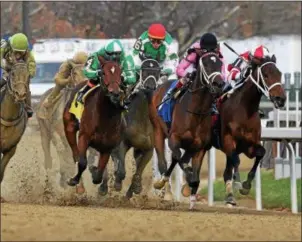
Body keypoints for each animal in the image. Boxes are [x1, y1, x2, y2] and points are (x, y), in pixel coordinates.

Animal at [63, 56, 125, 187]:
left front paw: (96, 172)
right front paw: (73, 180)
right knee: (75, 149)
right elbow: (82, 162)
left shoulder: (108, 146)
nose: (114, 93)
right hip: (69, 125)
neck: (105, 117)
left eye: (120, 74)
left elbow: (99, 173)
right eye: (103, 73)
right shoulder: (84, 136)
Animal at [148, 51, 224, 208]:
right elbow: (179, 159)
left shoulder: (200, 147)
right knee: (164, 161)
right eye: (206, 64)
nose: (219, 84)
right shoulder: (174, 138)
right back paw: (163, 187)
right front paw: (187, 179)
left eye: (220, 64)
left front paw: (191, 195)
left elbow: (191, 170)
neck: (196, 111)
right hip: (158, 131)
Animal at [214, 53, 286, 206]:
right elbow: (236, 161)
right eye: (266, 75)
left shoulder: (249, 144)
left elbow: (260, 153)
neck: (244, 109)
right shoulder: (229, 140)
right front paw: (238, 182)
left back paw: (230, 196)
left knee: (226, 171)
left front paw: (246, 185)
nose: (281, 99)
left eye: (279, 74)